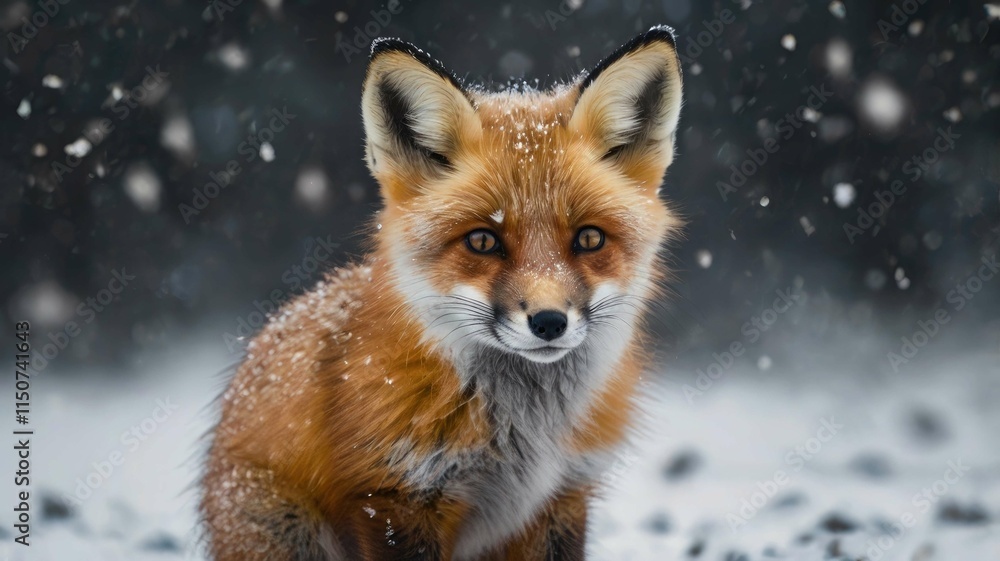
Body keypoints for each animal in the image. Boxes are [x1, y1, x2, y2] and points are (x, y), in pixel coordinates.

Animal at [201, 25, 684, 561]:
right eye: (483, 241)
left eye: (590, 239)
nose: (549, 321)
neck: (527, 433)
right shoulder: (394, 496)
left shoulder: (561, 498)